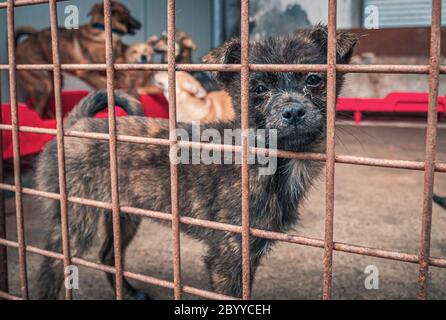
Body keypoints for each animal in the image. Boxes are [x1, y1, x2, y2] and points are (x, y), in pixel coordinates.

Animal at [34, 25, 358, 300]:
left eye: (314, 79)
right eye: (258, 89)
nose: (293, 112)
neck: (273, 164)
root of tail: (76, 123)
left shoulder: (248, 256)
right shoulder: (227, 256)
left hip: (124, 214)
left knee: (109, 256)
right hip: (76, 217)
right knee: (52, 263)